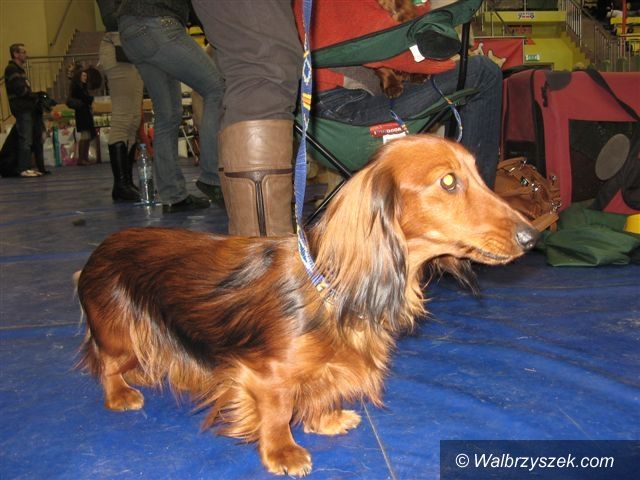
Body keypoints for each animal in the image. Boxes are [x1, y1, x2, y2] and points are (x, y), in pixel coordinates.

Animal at [76, 135, 538, 476]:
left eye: (478, 174)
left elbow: (318, 392)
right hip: (118, 335)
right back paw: (120, 393)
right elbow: (278, 411)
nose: (532, 237)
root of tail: (100, 249)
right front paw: (283, 452)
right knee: (105, 363)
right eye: (448, 182)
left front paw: (325, 418)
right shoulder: (264, 375)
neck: (332, 287)